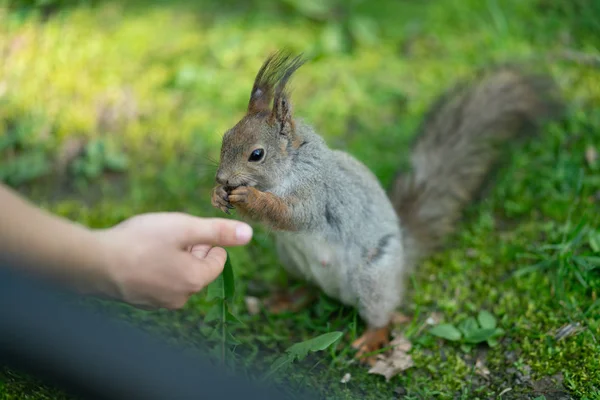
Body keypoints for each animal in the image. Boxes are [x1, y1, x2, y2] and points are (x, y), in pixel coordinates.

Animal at [210, 51, 564, 364]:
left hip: (374, 277)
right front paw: (217, 195)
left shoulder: (316, 193)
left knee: (381, 315)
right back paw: (286, 300)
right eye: (225, 137)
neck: (290, 167)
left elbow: (292, 216)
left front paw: (249, 197)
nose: (222, 178)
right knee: (311, 288)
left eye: (257, 154)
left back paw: (370, 340)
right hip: (293, 260)